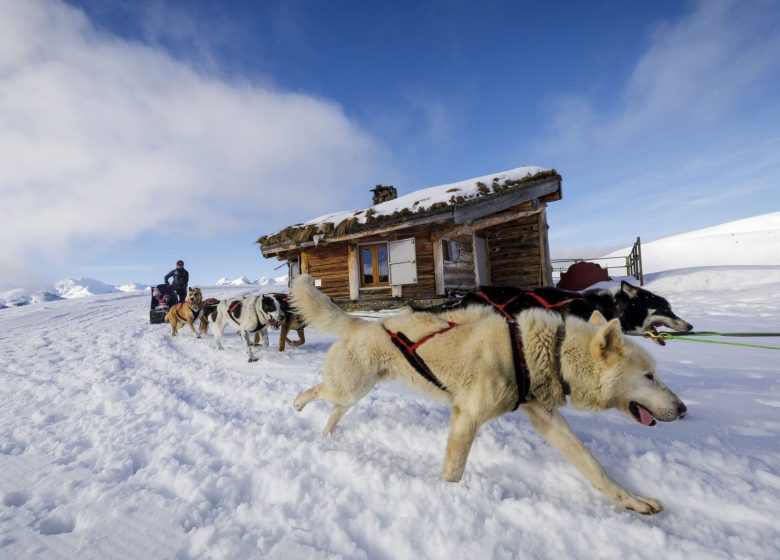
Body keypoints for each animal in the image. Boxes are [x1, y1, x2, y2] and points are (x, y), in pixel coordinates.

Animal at [290, 274, 684, 516]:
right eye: (649, 376)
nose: (682, 410)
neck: (539, 349)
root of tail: (363, 323)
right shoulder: (468, 416)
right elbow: (453, 472)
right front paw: (446, 498)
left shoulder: (545, 417)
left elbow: (593, 466)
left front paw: (633, 501)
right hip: (350, 385)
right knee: (316, 390)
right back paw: (297, 405)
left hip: (354, 392)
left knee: (335, 409)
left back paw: (327, 435)